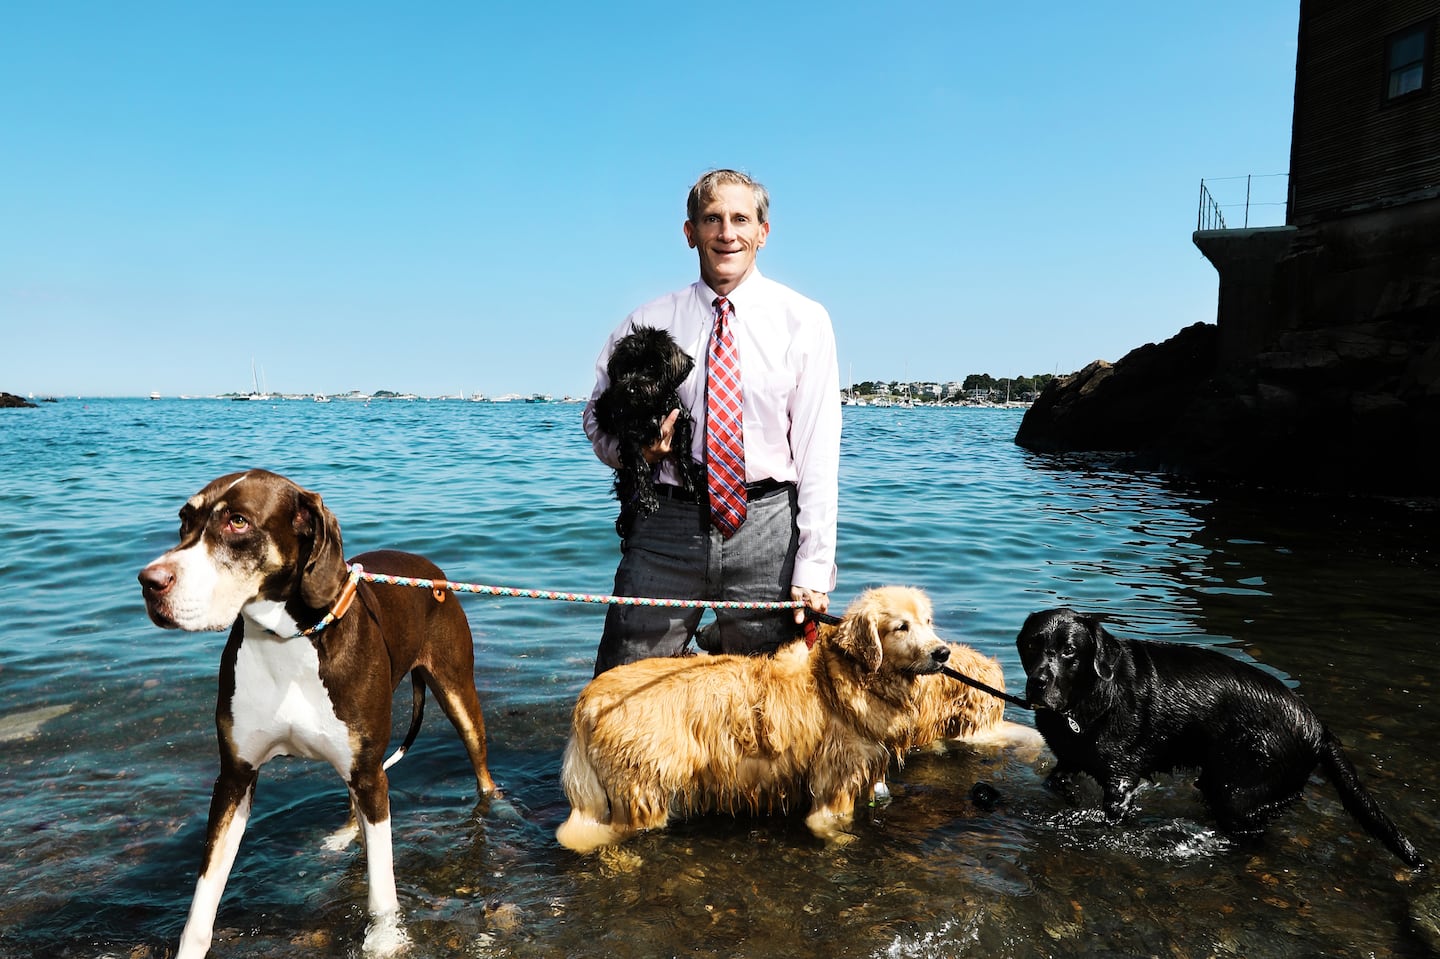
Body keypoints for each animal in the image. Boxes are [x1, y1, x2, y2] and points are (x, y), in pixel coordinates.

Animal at [136, 469, 495, 956]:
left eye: (237, 521)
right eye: (184, 520)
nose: (148, 581)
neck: (286, 639)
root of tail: (427, 569)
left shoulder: (369, 774)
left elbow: (382, 889)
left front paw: (385, 941)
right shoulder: (234, 777)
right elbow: (204, 893)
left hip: (457, 698)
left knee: (480, 772)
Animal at [555, 587, 961, 846]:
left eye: (927, 621)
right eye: (901, 626)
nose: (943, 653)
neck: (848, 676)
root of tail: (587, 700)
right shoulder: (834, 784)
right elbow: (831, 826)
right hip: (642, 789)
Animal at [593, 322, 699, 532]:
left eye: (651, 366)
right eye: (626, 367)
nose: (630, 388)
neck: (651, 408)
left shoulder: (680, 420)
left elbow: (684, 453)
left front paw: (691, 480)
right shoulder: (629, 436)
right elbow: (640, 465)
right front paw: (648, 497)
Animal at [1019, 604, 1422, 863]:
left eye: (1070, 651)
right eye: (1032, 644)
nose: (1037, 683)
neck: (1087, 700)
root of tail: (1317, 728)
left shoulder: (1121, 782)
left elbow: (1105, 814)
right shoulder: (1067, 761)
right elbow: (1057, 782)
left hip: (1240, 788)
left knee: (1245, 832)